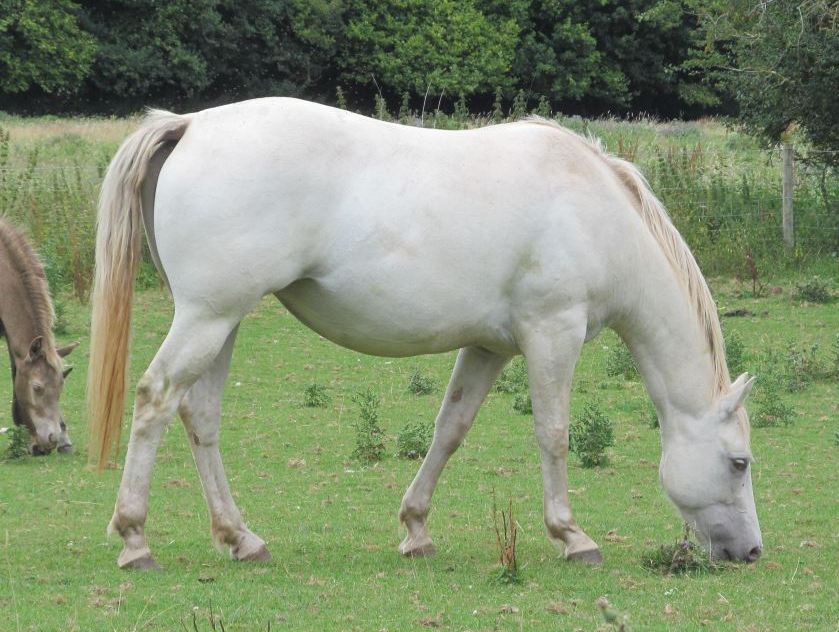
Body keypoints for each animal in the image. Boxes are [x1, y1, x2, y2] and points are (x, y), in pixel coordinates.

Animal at [88, 97, 764, 568]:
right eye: (739, 462)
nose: (752, 552)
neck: (595, 212)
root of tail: (190, 125)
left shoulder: (491, 346)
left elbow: (450, 430)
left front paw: (416, 530)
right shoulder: (553, 333)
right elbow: (553, 434)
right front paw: (572, 537)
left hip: (220, 321)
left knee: (199, 415)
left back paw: (241, 538)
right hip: (207, 317)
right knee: (154, 399)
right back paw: (135, 539)